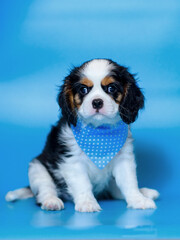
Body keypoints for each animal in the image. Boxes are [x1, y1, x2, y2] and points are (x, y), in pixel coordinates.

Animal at [5, 58, 159, 212]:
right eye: (83, 90)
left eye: (111, 88)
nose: (97, 102)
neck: (99, 131)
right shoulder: (72, 161)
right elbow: (82, 183)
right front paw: (87, 202)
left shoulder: (124, 159)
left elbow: (129, 183)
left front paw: (138, 199)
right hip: (37, 169)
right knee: (45, 189)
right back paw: (51, 201)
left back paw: (144, 192)